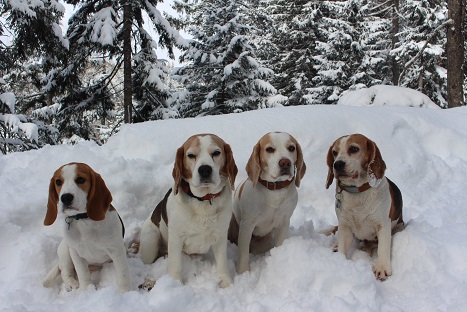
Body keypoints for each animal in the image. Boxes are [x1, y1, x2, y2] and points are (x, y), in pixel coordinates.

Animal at [42, 163, 130, 292]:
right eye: (58, 182)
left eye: (80, 179)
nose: (66, 197)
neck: (84, 219)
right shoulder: (76, 253)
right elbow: (83, 274)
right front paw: (87, 290)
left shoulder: (116, 250)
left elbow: (123, 275)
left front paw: (126, 292)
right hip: (66, 250)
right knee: (65, 272)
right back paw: (72, 283)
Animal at [138, 133, 234, 288]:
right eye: (190, 155)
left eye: (216, 153)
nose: (205, 169)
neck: (203, 200)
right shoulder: (176, 238)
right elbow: (175, 265)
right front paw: (175, 284)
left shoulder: (220, 235)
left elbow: (222, 263)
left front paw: (227, 283)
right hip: (151, 239)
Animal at [229, 132, 308, 272]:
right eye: (269, 149)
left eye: (291, 148)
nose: (285, 163)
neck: (274, 190)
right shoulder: (247, 225)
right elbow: (243, 253)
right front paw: (243, 272)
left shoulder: (284, 222)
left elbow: (280, 244)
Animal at [326, 133, 406, 280]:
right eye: (334, 152)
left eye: (353, 149)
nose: (337, 164)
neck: (357, 192)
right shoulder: (344, 225)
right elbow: (343, 246)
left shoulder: (383, 225)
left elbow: (383, 248)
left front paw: (382, 268)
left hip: (400, 226)